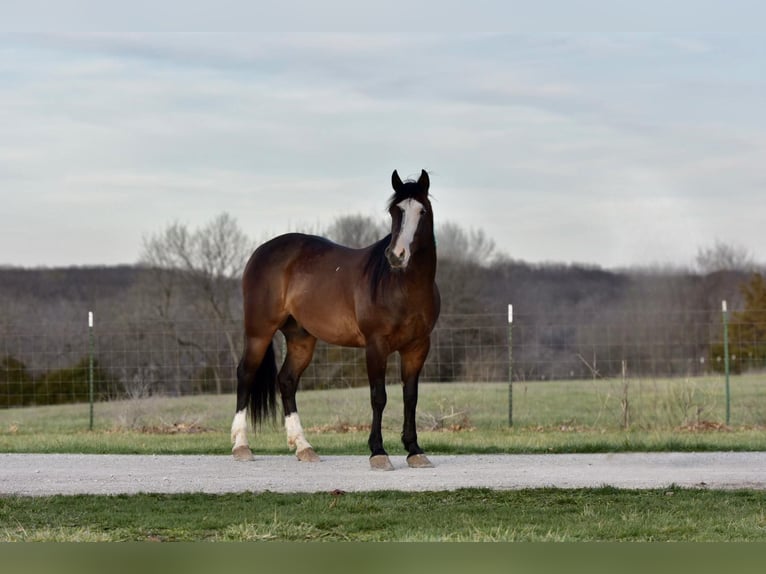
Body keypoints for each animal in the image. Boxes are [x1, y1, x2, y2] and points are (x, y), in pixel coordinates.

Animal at [231, 169, 440, 470]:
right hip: (259, 332)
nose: (396, 255)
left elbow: (410, 397)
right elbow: (379, 397)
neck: (402, 286)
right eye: (394, 211)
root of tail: (261, 251)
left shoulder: (417, 347)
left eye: (421, 211)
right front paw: (378, 452)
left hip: (301, 338)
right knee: (245, 374)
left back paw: (304, 447)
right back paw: (241, 446)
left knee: (287, 380)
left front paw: (414, 450)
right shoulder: (376, 346)